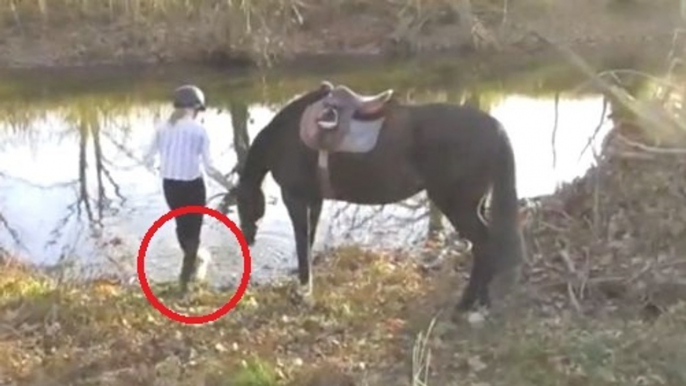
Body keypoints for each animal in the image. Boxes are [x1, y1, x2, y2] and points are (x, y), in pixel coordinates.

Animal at [235, 80, 528, 310]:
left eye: (240, 204)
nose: (247, 238)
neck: (285, 136)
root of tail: (494, 128)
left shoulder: (294, 197)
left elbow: (301, 242)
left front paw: (303, 293)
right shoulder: (313, 199)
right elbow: (308, 240)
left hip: (457, 205)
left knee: (484, 245)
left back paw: (467, 304)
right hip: (474, 204)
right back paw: (480, 301)